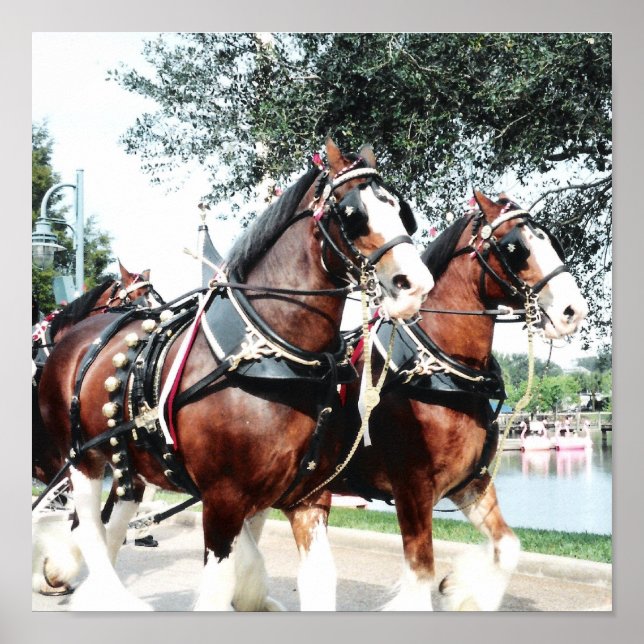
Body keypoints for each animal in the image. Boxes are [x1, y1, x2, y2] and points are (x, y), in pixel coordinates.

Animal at [36, 138, 434, 611]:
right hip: (81, 457)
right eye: (353, 213)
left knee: (111, 520)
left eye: (400, 209)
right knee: (86, 527)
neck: (271, 357)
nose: (416, 284)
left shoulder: (309, 496)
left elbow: (318, 580)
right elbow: (219, 585)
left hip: (125, 458)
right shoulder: (223, 499)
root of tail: (76, 336)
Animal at [280, 190, 589, 610]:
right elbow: (420, 571)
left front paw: (462, 590)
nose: (574, 310)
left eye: (551, 241)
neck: (439, 370)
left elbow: (507, 547)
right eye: (516, 247)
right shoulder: (412, 486)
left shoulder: (471, 482)